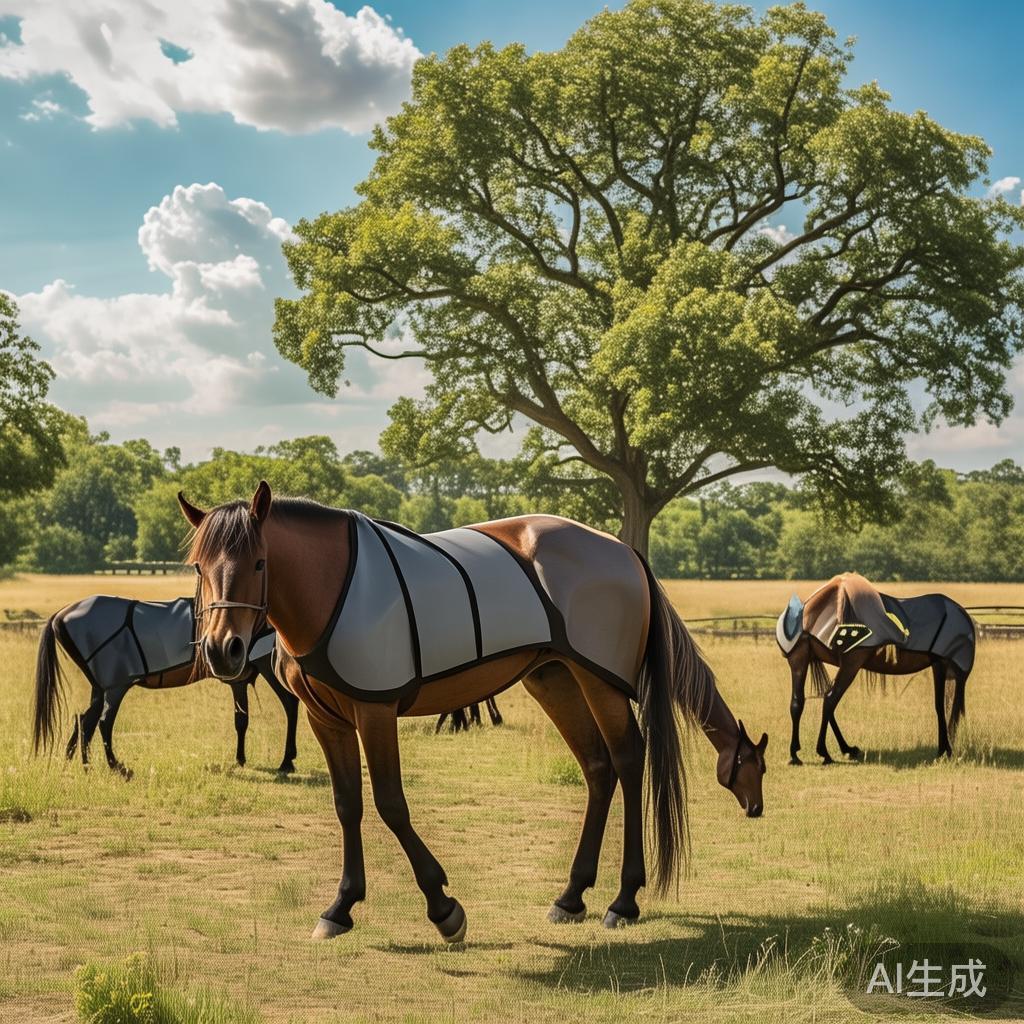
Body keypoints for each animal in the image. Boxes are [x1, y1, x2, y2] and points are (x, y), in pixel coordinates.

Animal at [32, 595, 299, 778]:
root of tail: (62, 615)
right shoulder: (261, 664)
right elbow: (286, 704)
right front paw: (282, 760)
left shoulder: (239, 680)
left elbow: (241, 719)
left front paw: (240, 759)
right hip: (115, 686)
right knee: (103, 722)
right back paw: (115, 766)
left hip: (100, 687)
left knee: (85, 720)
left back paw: (79, 764)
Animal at [178, 481, 768, 943]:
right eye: (199, 566)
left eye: (259, 561)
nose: (223, 649)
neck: (334, 588)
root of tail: (623, 551)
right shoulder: (328, 719)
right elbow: (348, 805)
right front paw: (341, 907)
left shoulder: (376, 711)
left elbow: (391, 804)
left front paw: (443, 908)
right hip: (555, 678)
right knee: (598, 767)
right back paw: (572, 895)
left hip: (599, 679)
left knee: (627, 759)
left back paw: (623, 900)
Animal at [777, 572, 974, 765]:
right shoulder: (942, 665)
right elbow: (943, 707)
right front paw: (945, 750)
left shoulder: (942, 666)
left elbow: (943, 706)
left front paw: (945, 749)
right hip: (849, 665)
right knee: (829, 700)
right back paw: (825, 752)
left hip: (806, 662)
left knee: (802, 702)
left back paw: (801, 754)